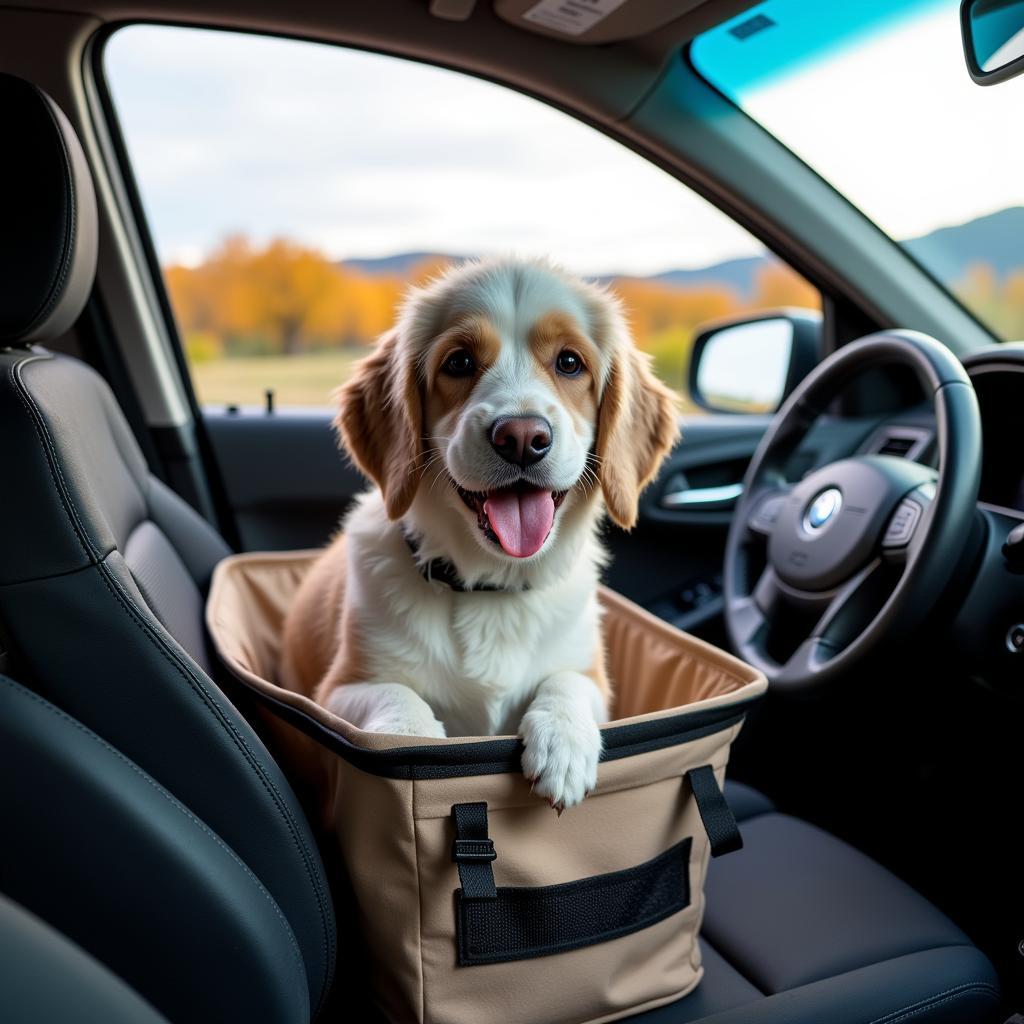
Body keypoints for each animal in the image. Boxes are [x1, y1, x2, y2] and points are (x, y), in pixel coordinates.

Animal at [280, 260, 679, 811]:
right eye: (460, 361)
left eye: (570, 362)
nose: (523, 438)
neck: (493, 588)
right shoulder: (337, 690)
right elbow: (398, 699)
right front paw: (413, 738)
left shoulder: (596, 681)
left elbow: (566, 682)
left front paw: (564, 742)